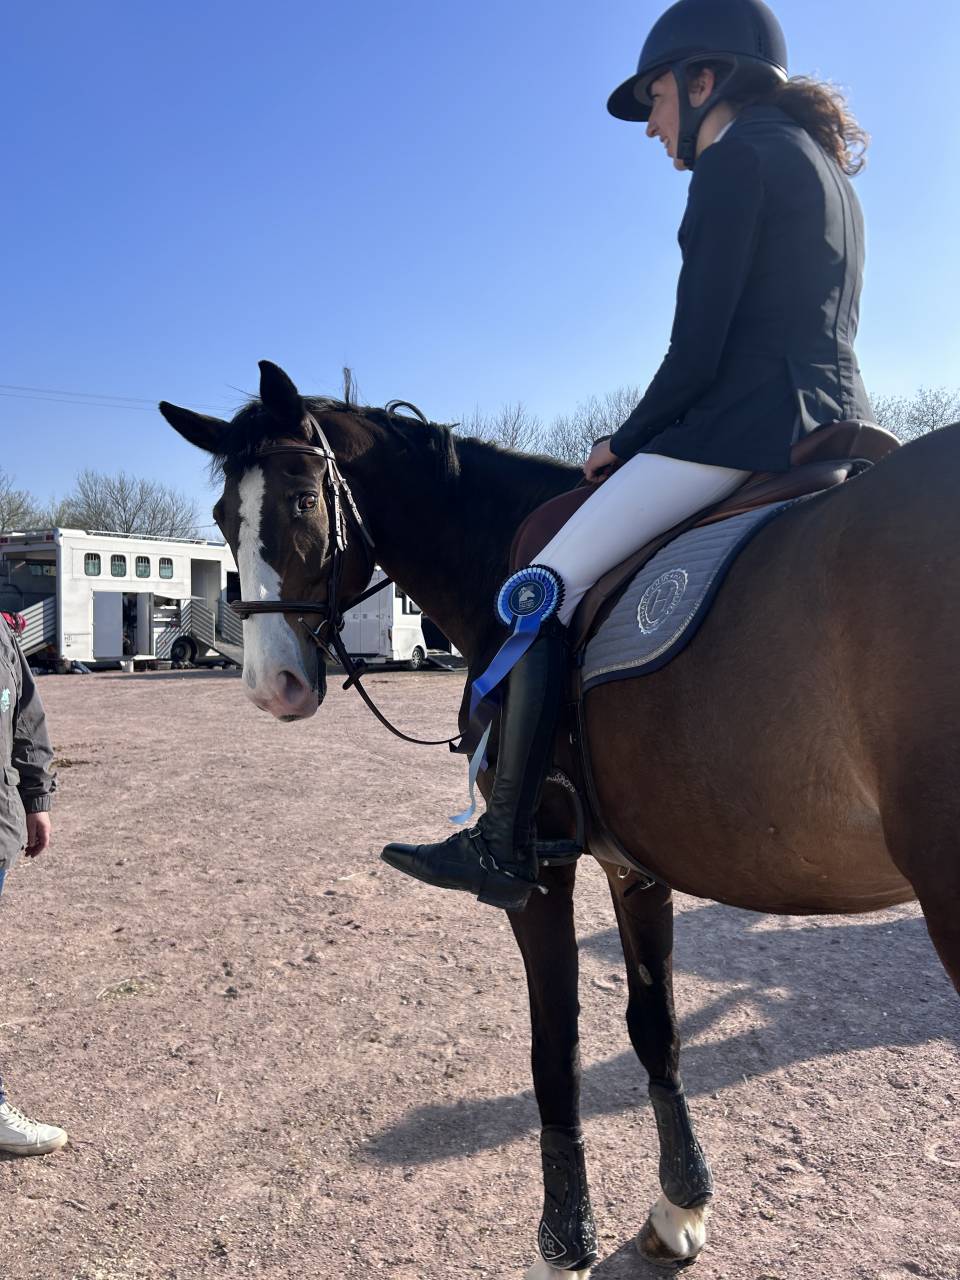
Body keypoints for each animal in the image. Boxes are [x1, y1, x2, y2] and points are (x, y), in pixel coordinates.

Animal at [160, 360, 959, 1276]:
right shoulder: (631, 864)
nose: (272, 688)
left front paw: (564, 1245)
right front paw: (679, 1208)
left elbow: (557, 1048)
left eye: (299, 500)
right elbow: (656, 1030)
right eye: (222, 518)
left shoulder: (538, 870)